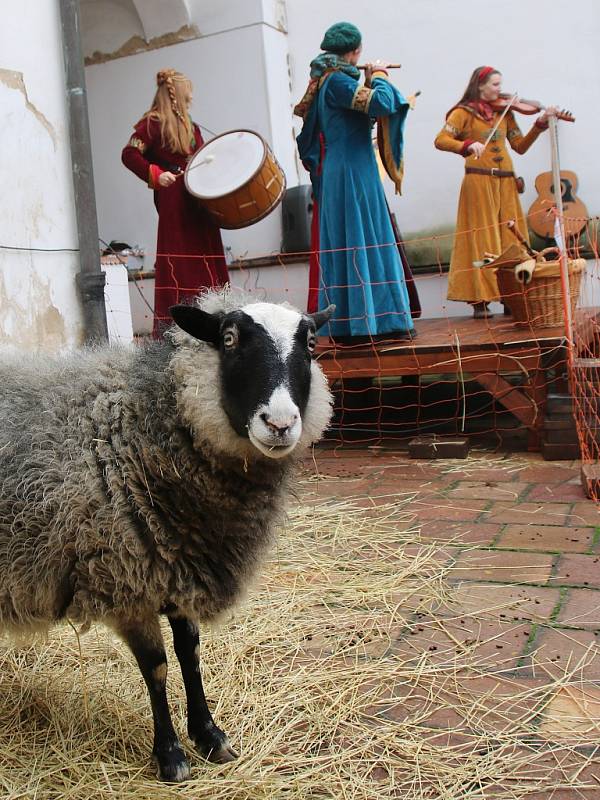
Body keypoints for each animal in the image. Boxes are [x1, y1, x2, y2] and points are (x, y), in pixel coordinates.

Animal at [0, 290, 336, 780]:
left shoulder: (180, 568)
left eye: (310, 344)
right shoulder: (126, 582)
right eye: (229, 339)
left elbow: (190, 655)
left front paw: (211, 736)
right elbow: (157, 668)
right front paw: (171, 755)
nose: (279, 424)